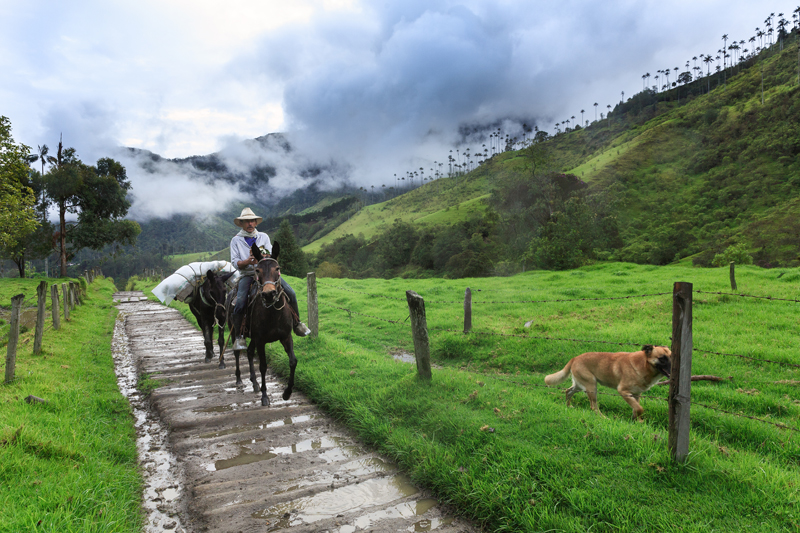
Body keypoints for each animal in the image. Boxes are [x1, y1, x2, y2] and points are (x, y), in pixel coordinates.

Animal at [225, 243, 296, 406]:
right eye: (257, 270)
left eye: (277, 268)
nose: (269, 294)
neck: (273, 313)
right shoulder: (261, 341)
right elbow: (263, 366)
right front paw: (264, 397)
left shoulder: (286, 337)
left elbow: (292, 361)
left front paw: (287, 393)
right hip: (236, 332)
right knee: (238, 352)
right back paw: (239, 380)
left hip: (253, 338)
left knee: (250, 353)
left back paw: (255, 383)